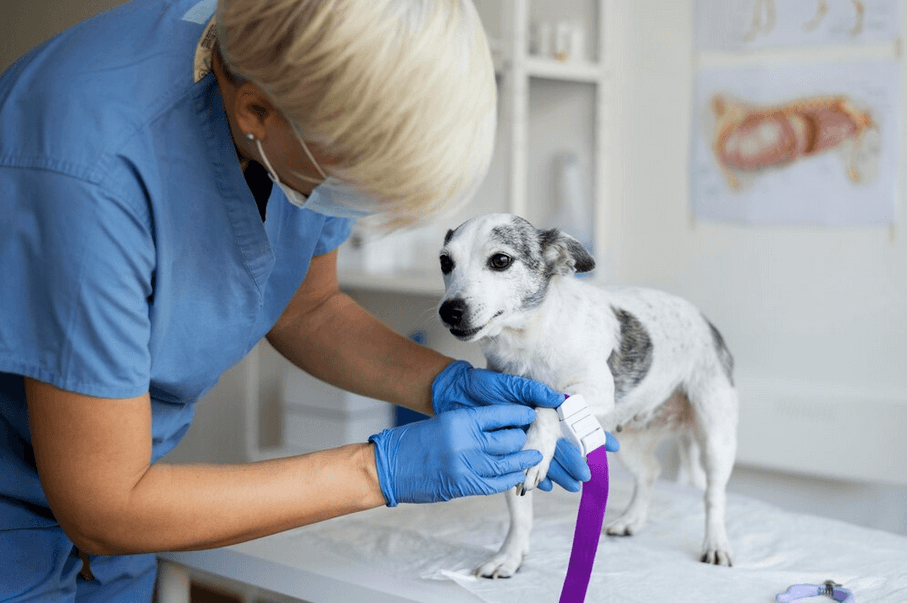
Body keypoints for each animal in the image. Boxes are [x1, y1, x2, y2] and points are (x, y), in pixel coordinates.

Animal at [438, 215, 736, 580]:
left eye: (500, 260)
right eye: (445, 262)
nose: (449, 311)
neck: (529, 342)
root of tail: (705, 321)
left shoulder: (596, 391)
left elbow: (547, 405)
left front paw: (540, 446)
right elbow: (519, 511)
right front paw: (510, 556)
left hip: (715, 436)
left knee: (714, 495)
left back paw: (716, 543)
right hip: (628, 442)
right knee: (650, 472)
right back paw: (632, 519)